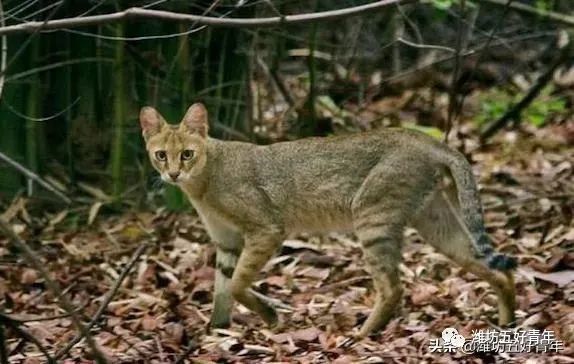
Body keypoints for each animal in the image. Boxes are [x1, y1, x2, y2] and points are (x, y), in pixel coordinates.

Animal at [140, 103, 516, 338]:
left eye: (187, 154)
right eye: (161, 155)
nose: (173, 174)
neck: (202, 183)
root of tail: (422, 137)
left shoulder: (265, 229)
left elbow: (235, 284)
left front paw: (271, 318)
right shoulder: (226, 241)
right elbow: (221, 289)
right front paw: (215, 331)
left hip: (372, 217)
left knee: (393, 287)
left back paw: (362, 335)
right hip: (435, 222)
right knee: (498, 269)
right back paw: (507, 323)